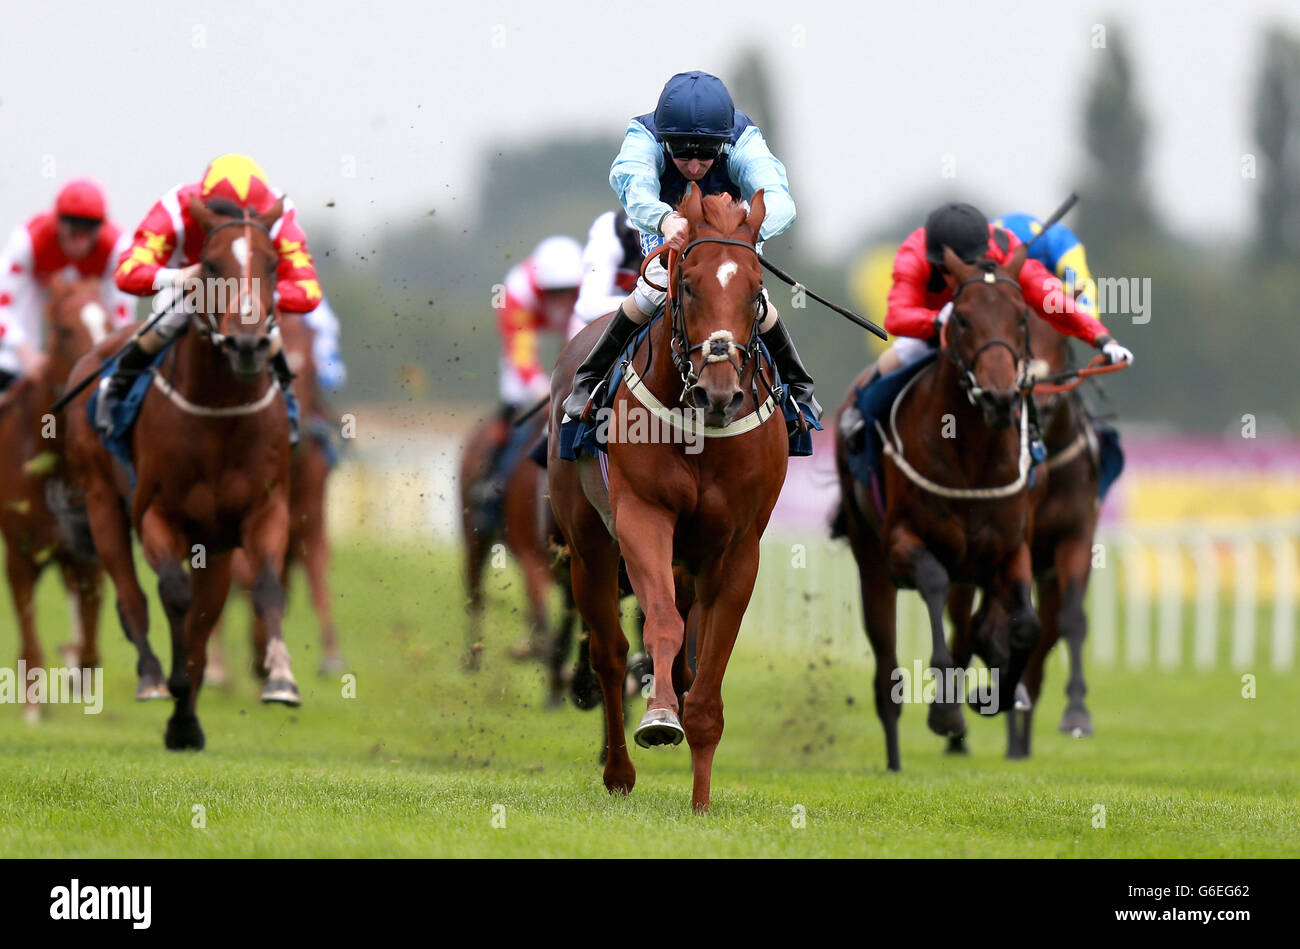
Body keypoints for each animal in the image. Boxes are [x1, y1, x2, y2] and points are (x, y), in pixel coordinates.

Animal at [64, 200, 297, 748]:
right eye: (209, 265)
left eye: (273, 265)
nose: (248, 343)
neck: (220, 413)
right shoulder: (157, 513)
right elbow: (173, 593)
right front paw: (172, 685)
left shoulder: (263, 511)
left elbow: (262, 588)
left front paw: (279, 677)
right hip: (102, 503)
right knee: (131, 597)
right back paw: (152, 677)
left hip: (214, 545)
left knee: (205, 615)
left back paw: (186, 718)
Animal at [546, 188, 785, 811]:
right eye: (690, 285)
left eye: (755, 288)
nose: (720, 392)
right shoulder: (643, 518)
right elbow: (660, 627)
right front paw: (657, 719)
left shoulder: (738, 548)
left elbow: (708, 668)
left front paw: (701, 800)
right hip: (589, 548)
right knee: (608, 652)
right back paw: (618, 771)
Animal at [832, 241, 1045, 769]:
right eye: (963, 319)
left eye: (1022, 318)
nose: (999, 397)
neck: (972, 453)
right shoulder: (902, 542)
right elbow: (931, 582)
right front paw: (946, 710)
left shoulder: (1011, 547)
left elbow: (1026, 625)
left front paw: (997, 692)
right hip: (872, 563)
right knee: (886, 667)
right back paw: (894, 755)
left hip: (970, 569)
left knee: (971, 623)